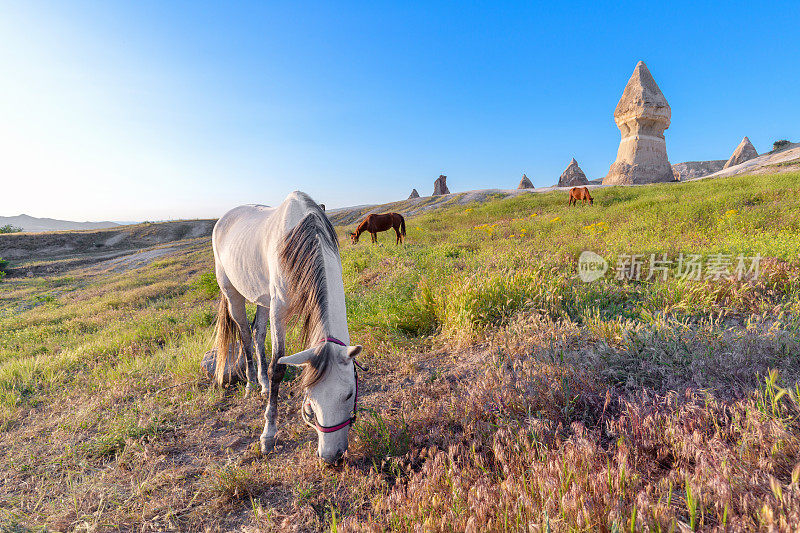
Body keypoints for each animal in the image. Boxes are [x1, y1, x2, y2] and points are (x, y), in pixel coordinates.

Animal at [212, 191, 362, 466]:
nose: (331, 457)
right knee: (245, 335)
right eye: (310, 399)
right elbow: (277, 367)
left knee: (258, 334)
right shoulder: (278, 310)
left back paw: (262, 385)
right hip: (233, 294)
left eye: (348, 394)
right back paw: (251, 384)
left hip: (263, 299)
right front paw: (268, 435)